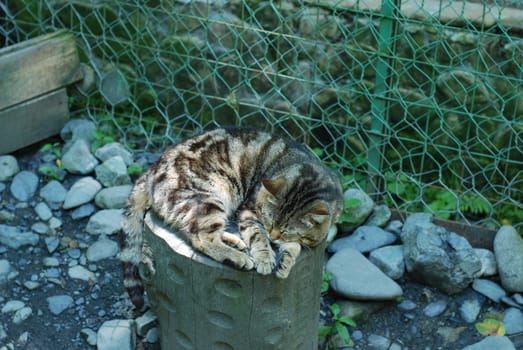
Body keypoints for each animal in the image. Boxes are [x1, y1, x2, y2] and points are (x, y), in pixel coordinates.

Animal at [121, 127, 346, 308]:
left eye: (286, 230)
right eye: (268, 220)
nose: (273, 236)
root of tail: (150, 170)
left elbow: (295, 245)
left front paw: (285, 261)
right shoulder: (249, 210)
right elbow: (257, 235)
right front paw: (265, 257)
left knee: (195, 230)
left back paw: (235, 243)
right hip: (209, 199)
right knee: (200, 237)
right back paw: (239, 258)